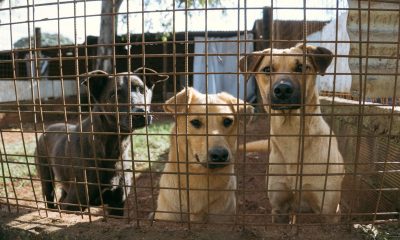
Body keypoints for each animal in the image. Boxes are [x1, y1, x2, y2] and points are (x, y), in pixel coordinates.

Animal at [35, 67, 168, 216]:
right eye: (114, 95)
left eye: (142, 90)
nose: (140, 113)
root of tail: (48, 128)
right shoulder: (74, 203)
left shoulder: (117, 204)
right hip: (46, 178)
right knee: (50, 198)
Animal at [239, 43, 346, 223]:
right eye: (267, 69)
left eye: (301, 67)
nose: (282, 89)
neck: (291, 133)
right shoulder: (279, 208)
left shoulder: (329, 212)